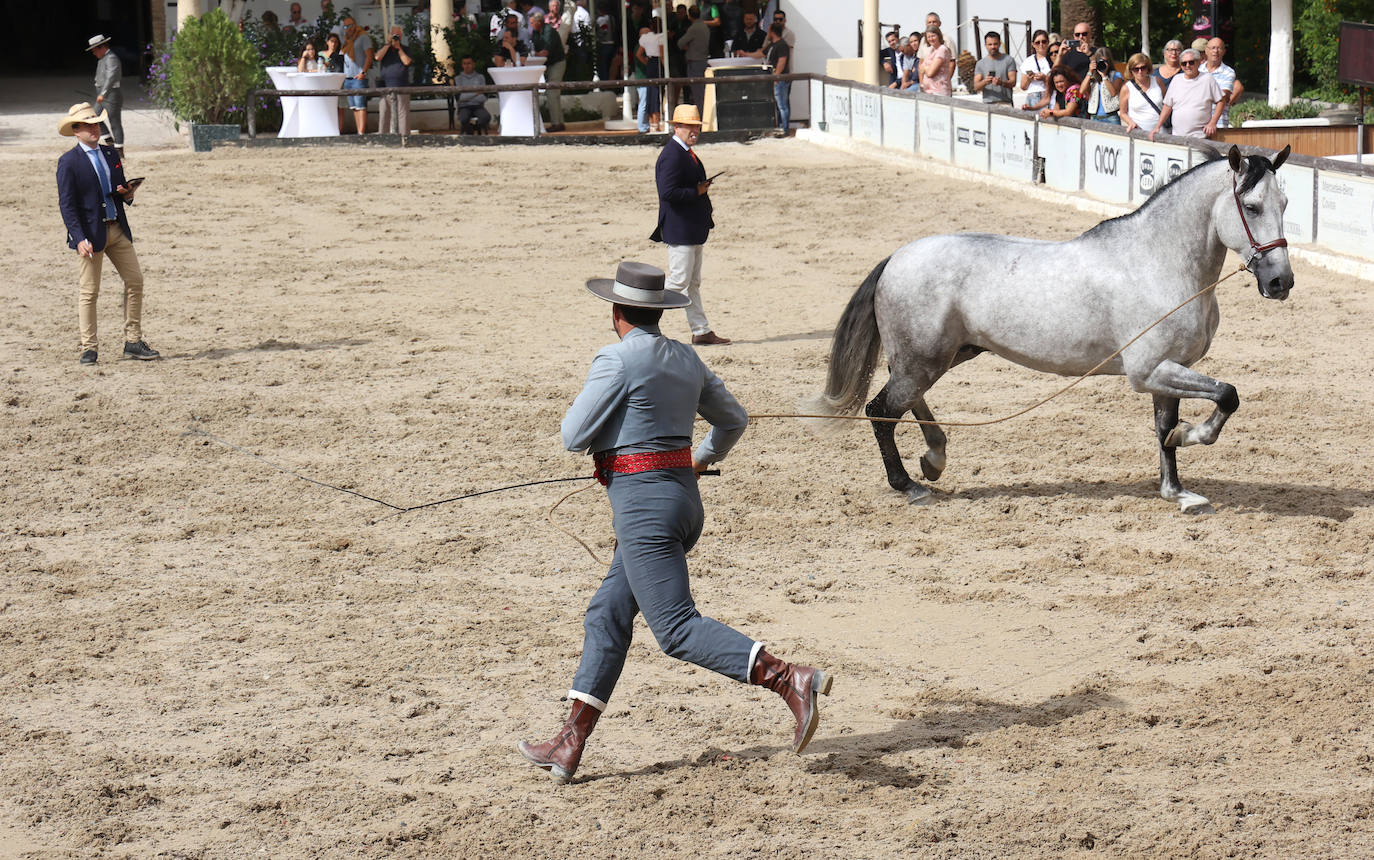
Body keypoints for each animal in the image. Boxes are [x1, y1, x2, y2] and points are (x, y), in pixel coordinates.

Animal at [802, 144, 1291, 511]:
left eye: (1285, 204)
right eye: (1251, 207)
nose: (1280, 282)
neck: (1156, 263)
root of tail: (897, 257)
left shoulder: (1169, 370)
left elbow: (1163, 429)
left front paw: (1178, 491)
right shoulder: (1149, 371)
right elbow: (1226, 395)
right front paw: (1193, 436)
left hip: (939, 356)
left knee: (905, 401)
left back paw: (934, 458)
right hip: (923, 360)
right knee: (881, 410)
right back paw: (911, 485)